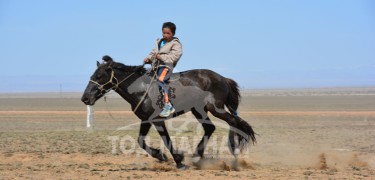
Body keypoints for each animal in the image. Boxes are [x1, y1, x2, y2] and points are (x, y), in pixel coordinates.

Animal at [81, 55, 258, 169]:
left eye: (99, 75)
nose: (85, 98)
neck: (141, 89)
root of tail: (222, 78)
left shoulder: (158, 120)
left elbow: (166, 140)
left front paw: (178, 161)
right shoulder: (146, 120)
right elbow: (140, 141)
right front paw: (161, 155)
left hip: (215, 108)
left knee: (233, 121)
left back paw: (234, 154)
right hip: (199, 110)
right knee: (211, 127)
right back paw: (197, 157)